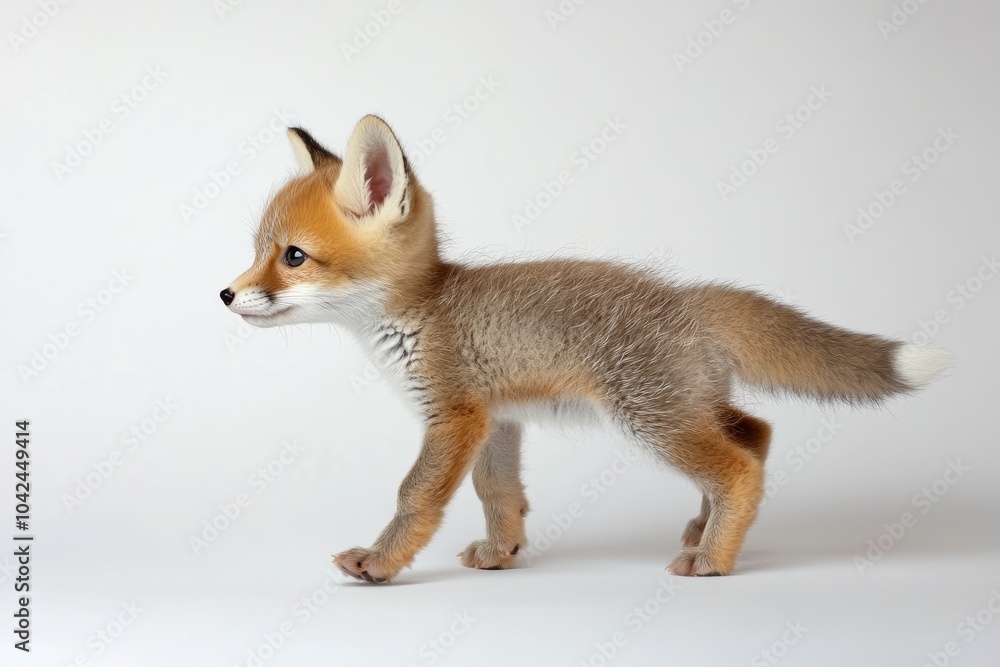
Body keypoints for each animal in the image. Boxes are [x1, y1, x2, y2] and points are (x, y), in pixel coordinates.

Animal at [221, 115, 951, 583]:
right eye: (259, 250)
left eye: (292, 257)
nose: (225, 294)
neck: (420, 314)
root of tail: (685, 296)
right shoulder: (496, 420)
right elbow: (498, 493)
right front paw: (503, 552)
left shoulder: (454, 416)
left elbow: (414, 495)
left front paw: (380, 563)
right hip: (688, 405)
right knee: (756, 432)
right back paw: (706, 528)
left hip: (652, 417)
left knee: (739, 465)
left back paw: (713, 559)